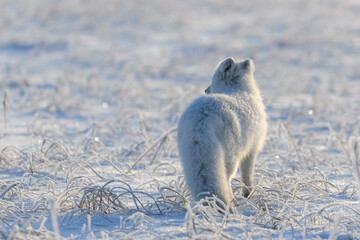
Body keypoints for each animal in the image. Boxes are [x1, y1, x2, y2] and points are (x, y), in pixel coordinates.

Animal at [177, 57, 268, 207]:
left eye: (213, 81)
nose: (206, 90)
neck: (238, 88)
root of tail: (201, 118)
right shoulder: (251, 149)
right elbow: (247, 177)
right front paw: (248, 195)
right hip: (231, 157)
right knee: (226, 179)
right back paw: (233, 203)